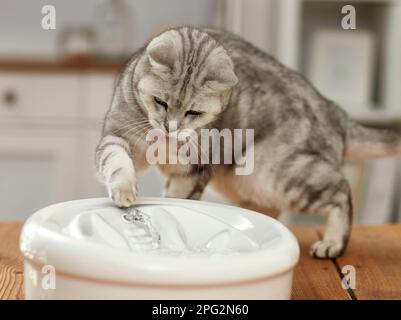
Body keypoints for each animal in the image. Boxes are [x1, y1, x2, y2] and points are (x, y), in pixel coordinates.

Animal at [95, 26, 400, 258]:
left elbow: (179, 200)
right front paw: (124, 191)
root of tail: (333, 109)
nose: (171, 128)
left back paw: (333, 243)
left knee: (341, 191)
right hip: (249, 182)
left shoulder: (193, 171)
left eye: (194, 112)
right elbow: (117, 161)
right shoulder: (116, 134)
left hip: (276, 174)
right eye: (160, 101)